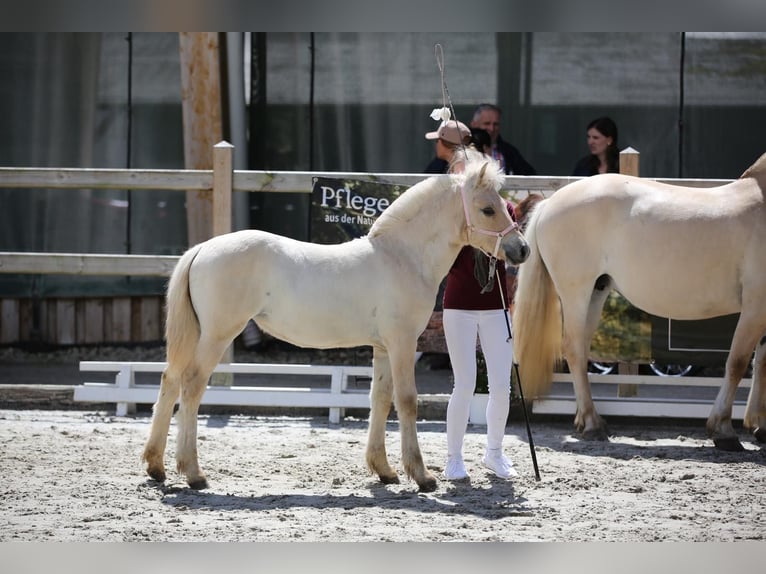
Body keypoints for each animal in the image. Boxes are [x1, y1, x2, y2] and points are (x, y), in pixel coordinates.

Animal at [142, 154, 528, 496]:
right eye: (488, 209)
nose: (521, 249)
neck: (401, 257)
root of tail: (202, 249)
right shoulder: (403, 343)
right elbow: (406, 401)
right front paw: (422, 477)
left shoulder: (383, 347)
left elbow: (379, 399)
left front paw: (384, 471)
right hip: (216, 335)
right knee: (192, 385)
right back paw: (193, 474)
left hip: (197, 336)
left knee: (170, 381)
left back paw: (156, 467)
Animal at [512, 151, 766, 452]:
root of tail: (550, 203)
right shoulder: (755, 307)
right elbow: (738, 363)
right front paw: (724, 430)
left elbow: (761, 363)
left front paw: (760, 427)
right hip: (576, 293)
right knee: (573, 349)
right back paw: (593, 424)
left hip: (596, 292)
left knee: (582, 349)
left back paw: (585, 421)